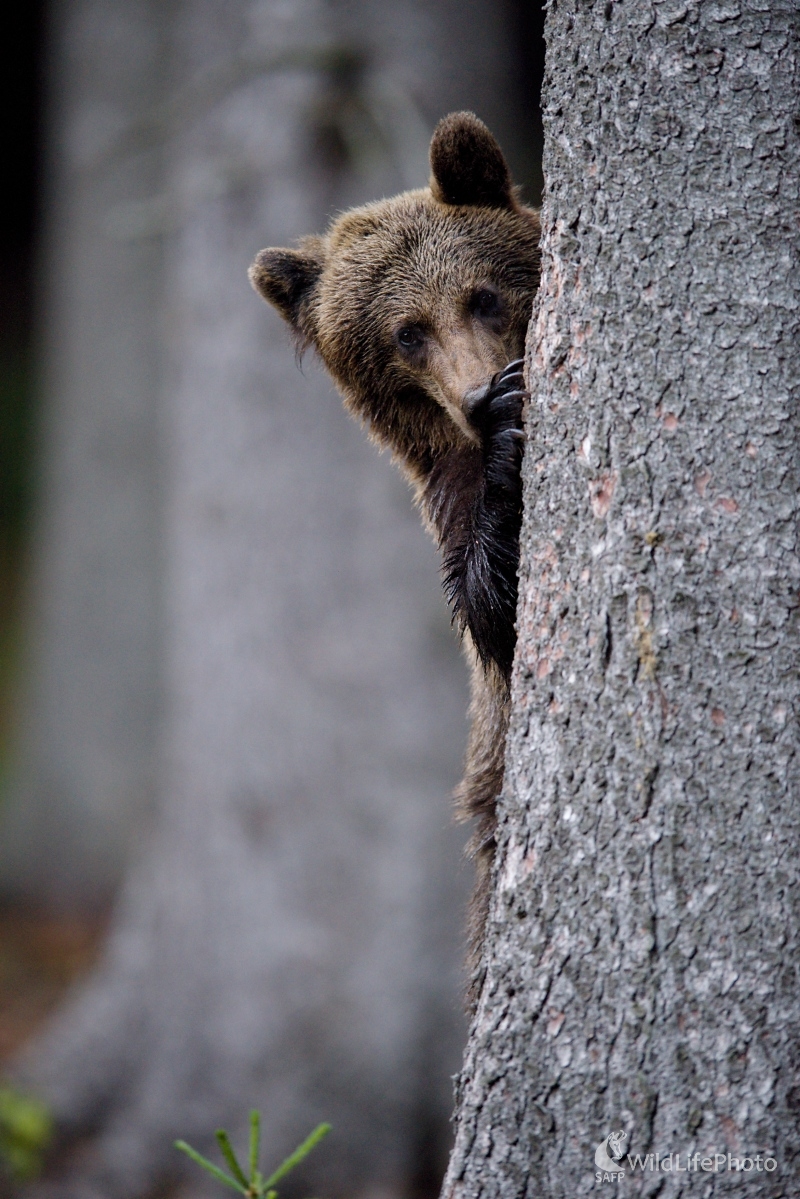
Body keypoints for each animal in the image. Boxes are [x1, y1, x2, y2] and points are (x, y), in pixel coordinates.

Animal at [247, 112, 542, 992]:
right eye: (407, 333)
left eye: (482, 295)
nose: (480, 395)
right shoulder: (448, 501)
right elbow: (490, 612)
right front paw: (507, 432)